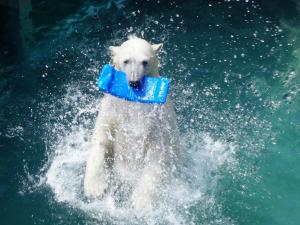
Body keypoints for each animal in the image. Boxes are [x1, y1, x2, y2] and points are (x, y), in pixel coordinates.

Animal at [83, 36, 179, 209]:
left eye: (145, 62)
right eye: (126, 60)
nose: (134, 82)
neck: (134, 102)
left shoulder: (159, 119)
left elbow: (157, 153)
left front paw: (140, 200)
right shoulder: (111, 109)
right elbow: (101, 139)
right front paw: (95, 188)